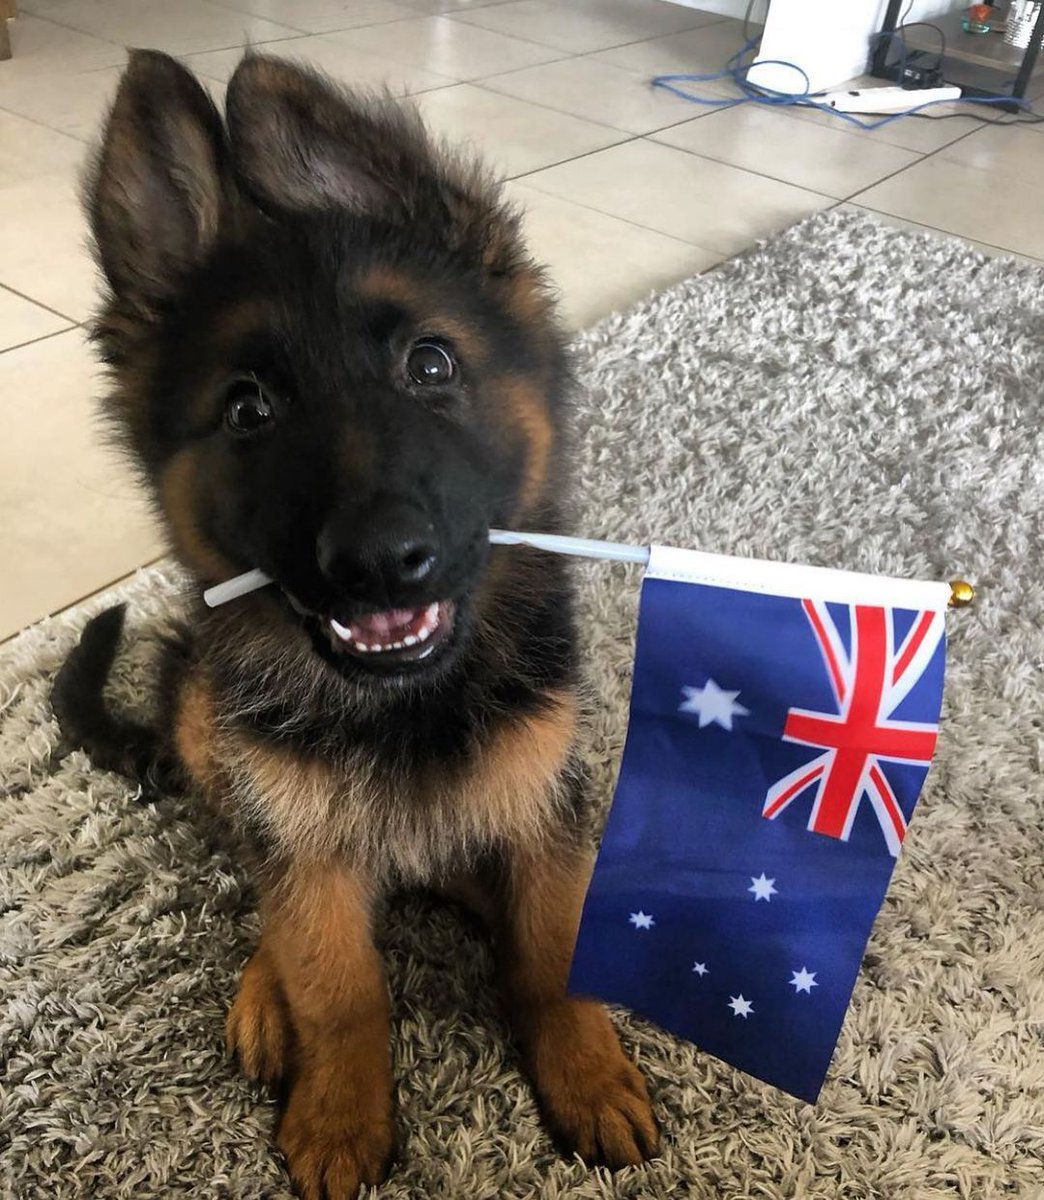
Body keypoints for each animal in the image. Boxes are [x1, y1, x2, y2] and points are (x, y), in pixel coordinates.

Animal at [53, 51, 657, 1195]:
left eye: (431, 364)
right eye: (248, 409)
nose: (379, 560)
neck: (406, 706)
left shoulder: (541, 802)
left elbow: (553, 949)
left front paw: (587, 1073)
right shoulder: (302, 842)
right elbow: (337, 981)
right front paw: (339, 1112)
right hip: (214, 728)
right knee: (264, 880)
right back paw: (264, 994)